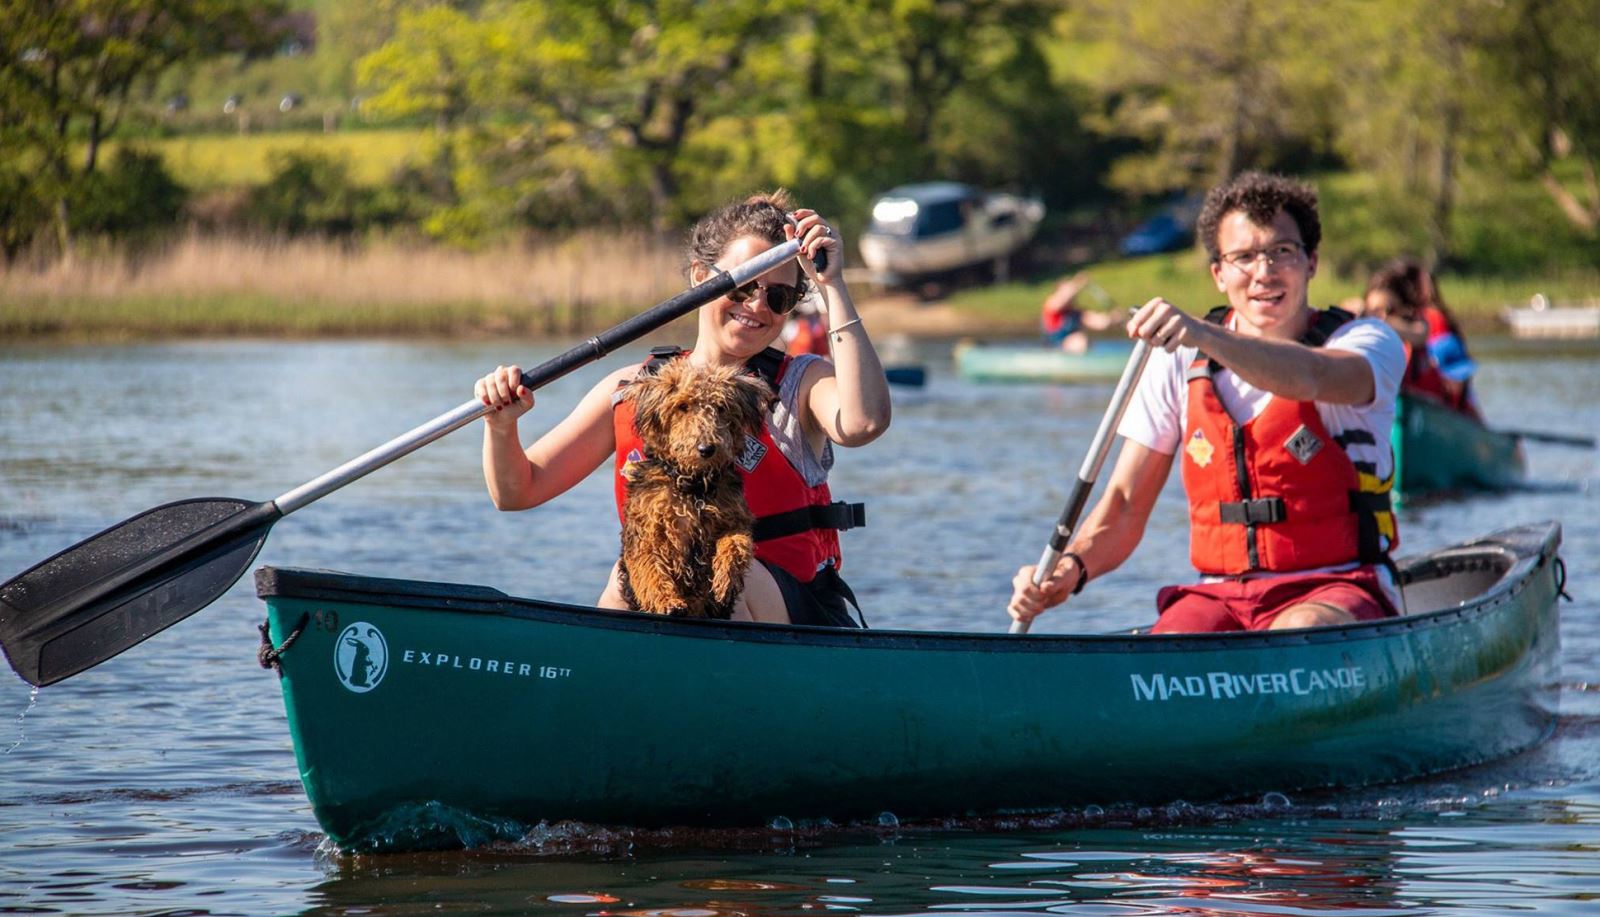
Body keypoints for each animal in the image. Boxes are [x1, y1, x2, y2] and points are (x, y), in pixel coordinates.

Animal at [617, 356, 774, 614]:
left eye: (721, 407)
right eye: (682, 406)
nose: (706, 449)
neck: (693, 488)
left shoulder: (735, 521)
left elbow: (735, 545)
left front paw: (725, 579)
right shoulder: (646, 533)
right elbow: (650, 569)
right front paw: (668, 601)